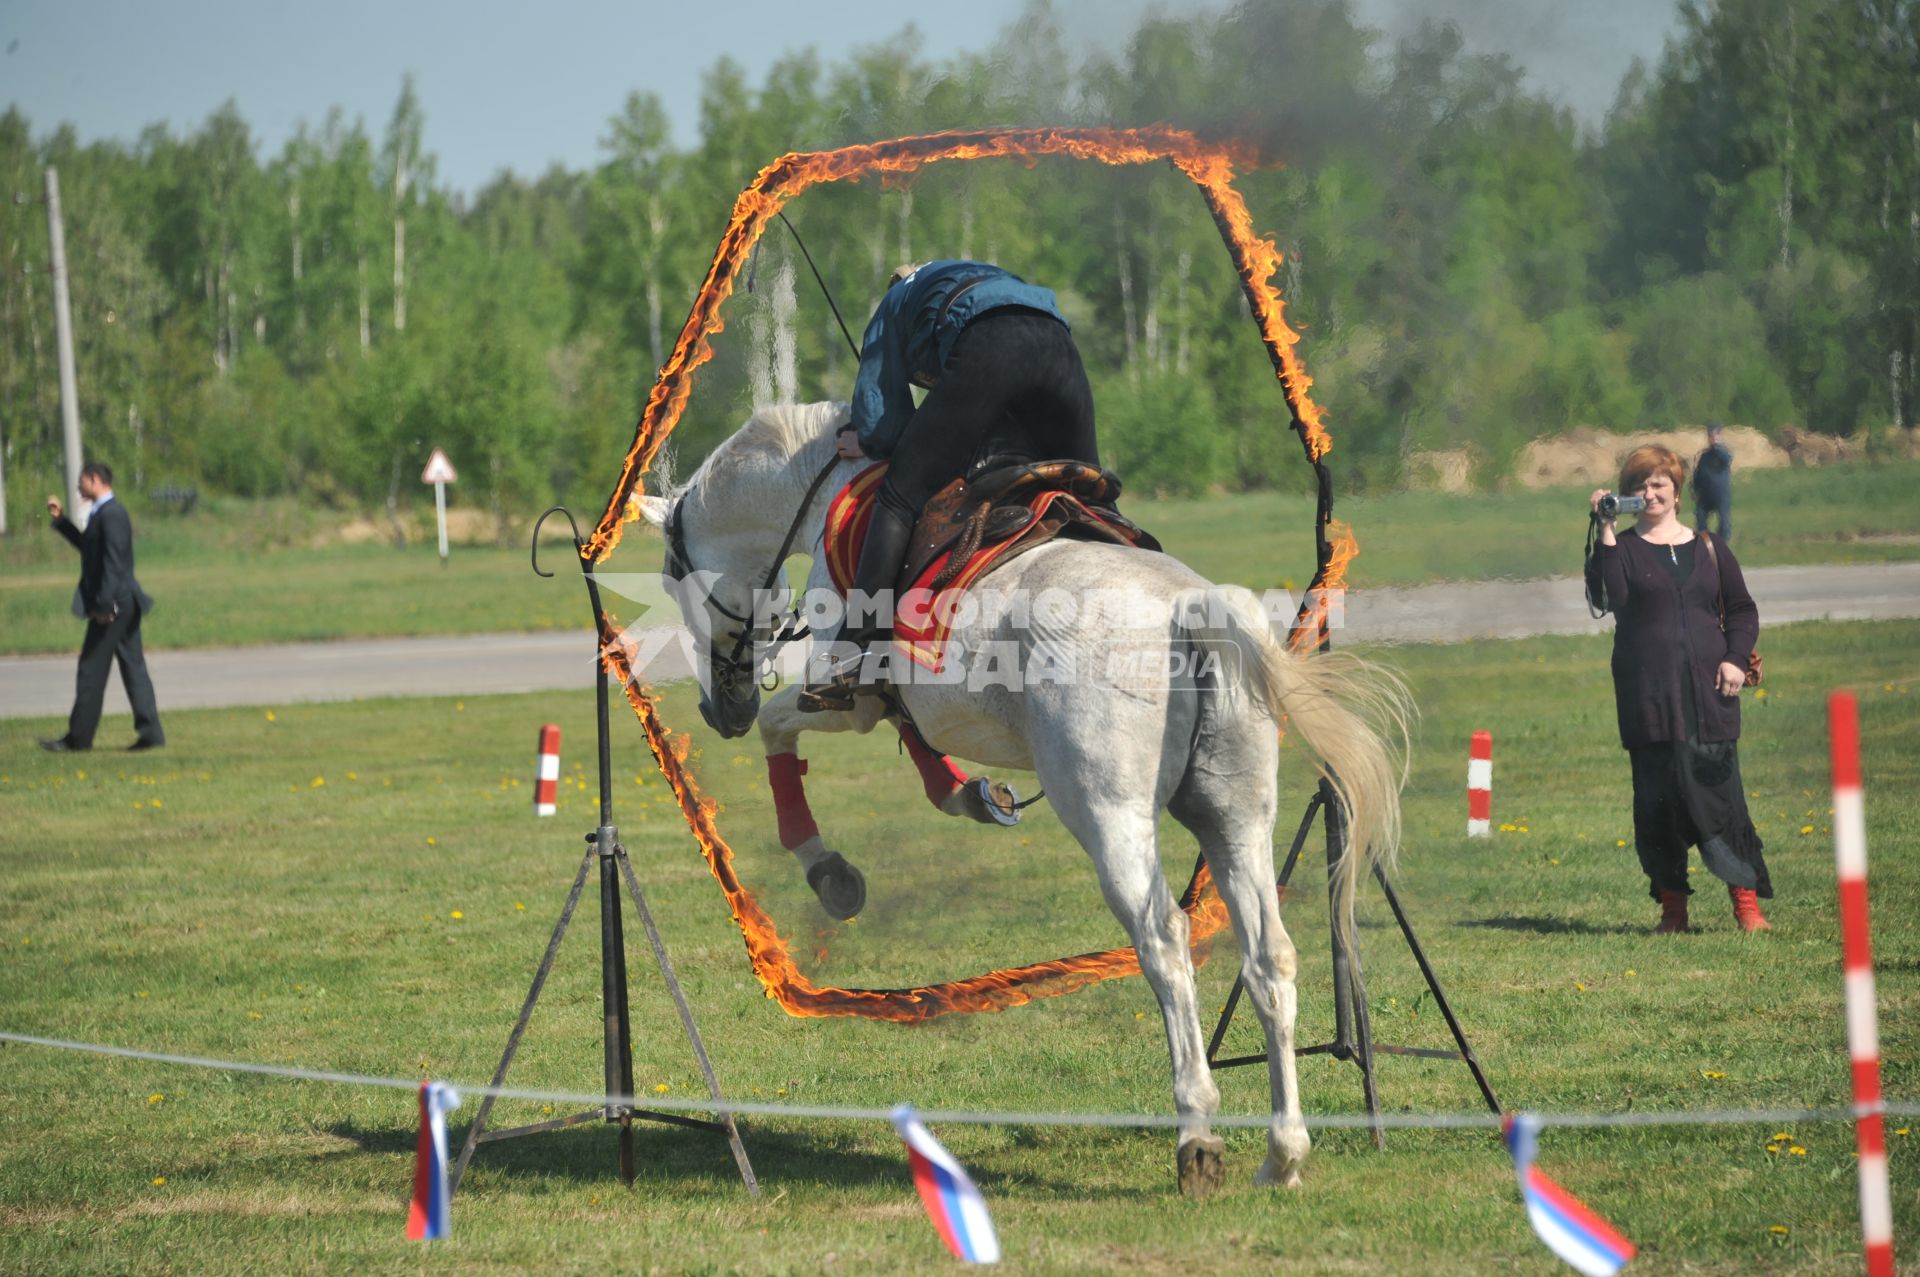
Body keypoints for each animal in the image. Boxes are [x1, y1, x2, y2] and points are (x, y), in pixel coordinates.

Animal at [633, 401, 1413, 1198]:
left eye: (672, 576)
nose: (716, 708)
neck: (825, 487)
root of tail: (1191, 607)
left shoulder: (846, 699)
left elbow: (780, 724)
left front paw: (830, 869)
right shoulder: (901, 700)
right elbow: (907, 738)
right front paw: (967, 793)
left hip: (1109, 815)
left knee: (1164, 942)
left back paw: (1197, 1133)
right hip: (1236, 816)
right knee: (1269, 956)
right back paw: (1283, 1151)